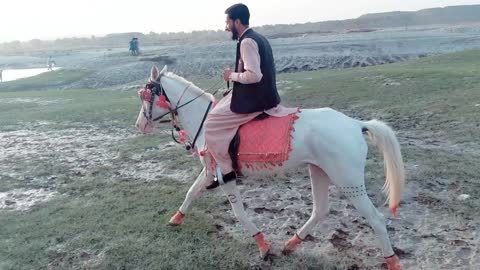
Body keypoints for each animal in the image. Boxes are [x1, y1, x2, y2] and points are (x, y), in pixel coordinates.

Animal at [135, 66, 404, 270]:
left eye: (146, 96)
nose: (139, 125)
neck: (205, 120)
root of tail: (356, 124)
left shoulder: (225, 175)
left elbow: (239, 213)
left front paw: (263, 246)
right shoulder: (210, 171)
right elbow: (191, 192)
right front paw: (176, 218)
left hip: (347, 180)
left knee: (376, 219)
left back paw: (392, 261)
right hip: (319, 171)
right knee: (320, 210)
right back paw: (291, 244)